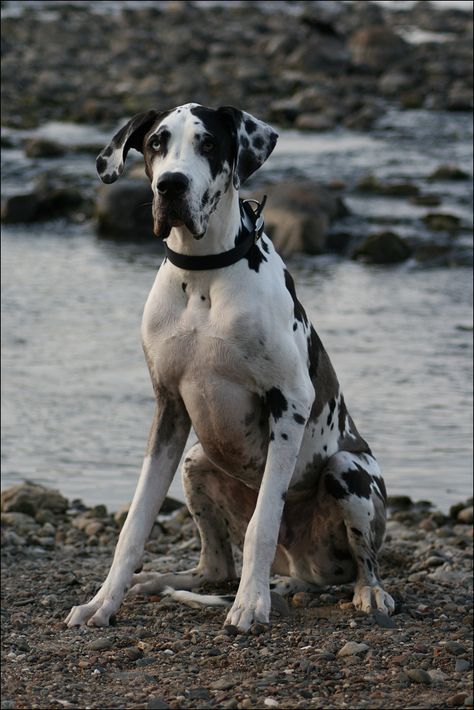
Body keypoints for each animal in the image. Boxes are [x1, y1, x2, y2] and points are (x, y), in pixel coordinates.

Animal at [65, 103, 394, 632]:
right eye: (156, 143)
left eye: (209, 144)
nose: (171, 186)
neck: (203, 274)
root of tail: (301, 569)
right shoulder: (168, 410)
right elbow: (134, 525)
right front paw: (103, 601)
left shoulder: (289, 404)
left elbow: (263, 521)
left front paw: (251, 604)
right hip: (197, 459)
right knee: (216, 566)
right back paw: (158, 580)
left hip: (349, 471)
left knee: (363, 560)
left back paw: (370, 592)